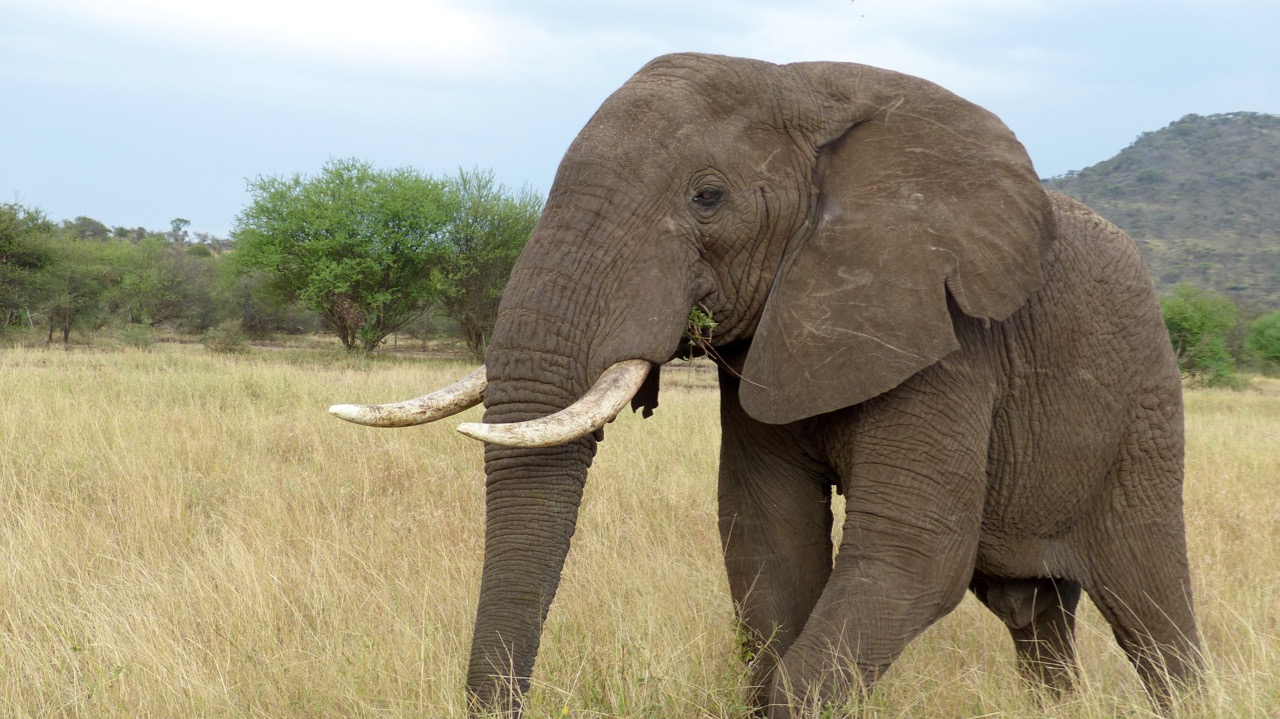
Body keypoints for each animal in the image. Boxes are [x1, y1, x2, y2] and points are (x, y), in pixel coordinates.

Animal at [330, 53, 1198, 711]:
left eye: (707, 196)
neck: (806, 86)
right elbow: (768, 539)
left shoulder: (945, 334)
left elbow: (912, 553)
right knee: (1035, 615)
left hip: (1145, 407)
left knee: (1152, 610)